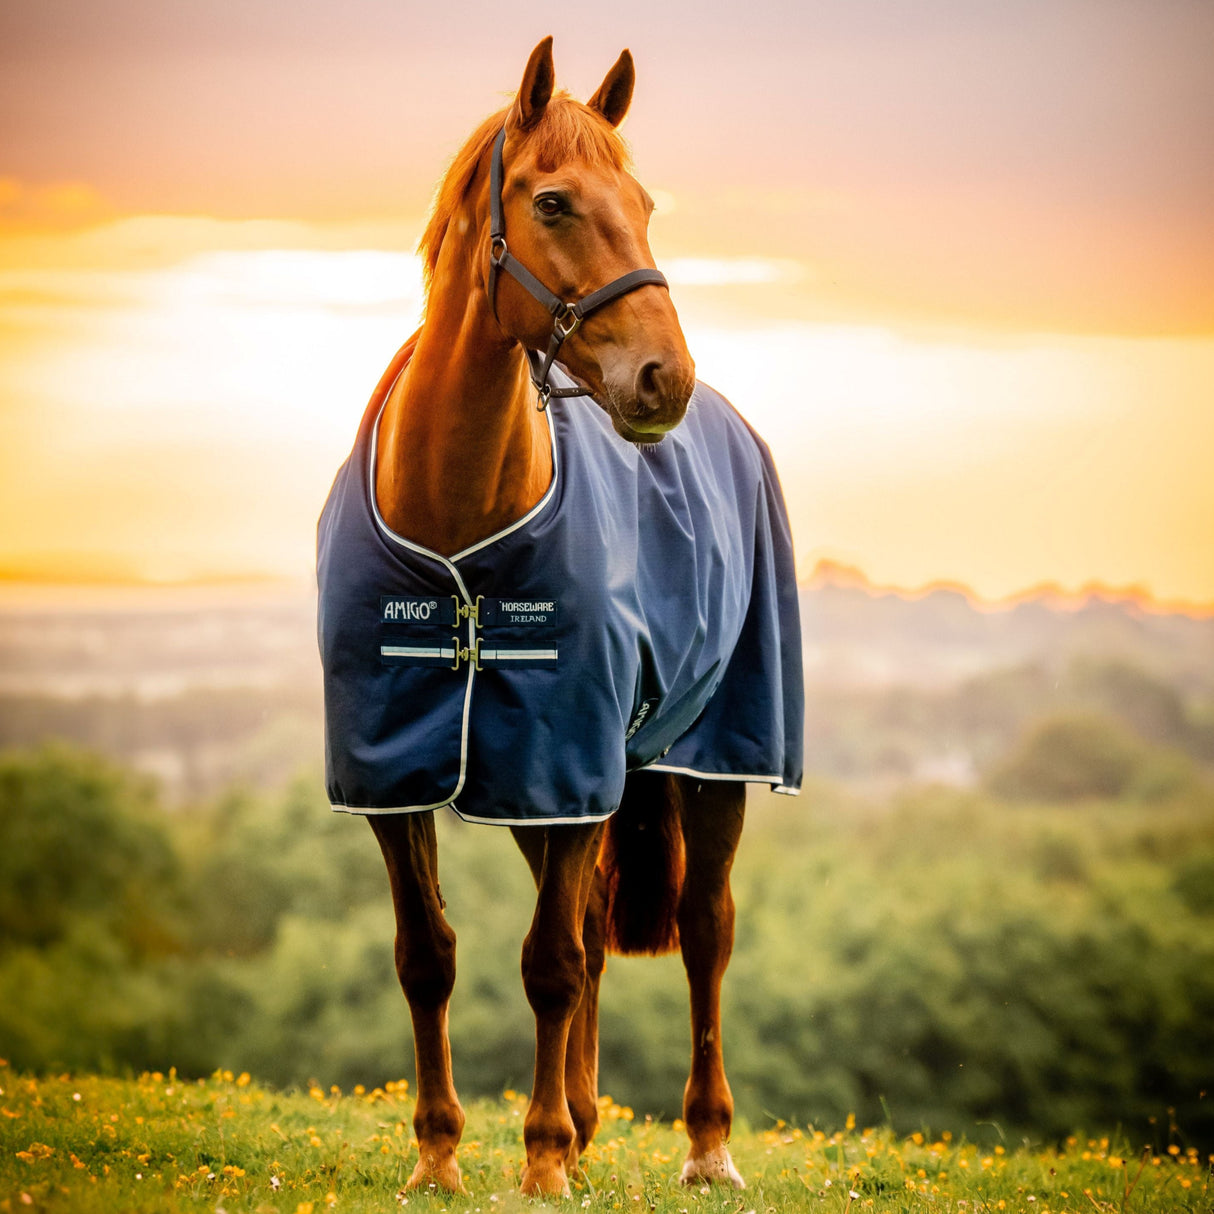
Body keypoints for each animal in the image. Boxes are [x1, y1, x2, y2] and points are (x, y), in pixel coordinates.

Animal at [316, 37, 803, 1198]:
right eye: (552, 201)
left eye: (645, 201)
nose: (663, 378)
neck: (457, 524)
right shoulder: (404, 773)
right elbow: (429, 955)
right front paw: (440, 1156)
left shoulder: (570, 761)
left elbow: (550, 962)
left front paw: (537, 1163)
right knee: (583, 922)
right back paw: (582, 1121)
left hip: (711, 758)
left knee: (704, 929)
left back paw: (704, 1143)